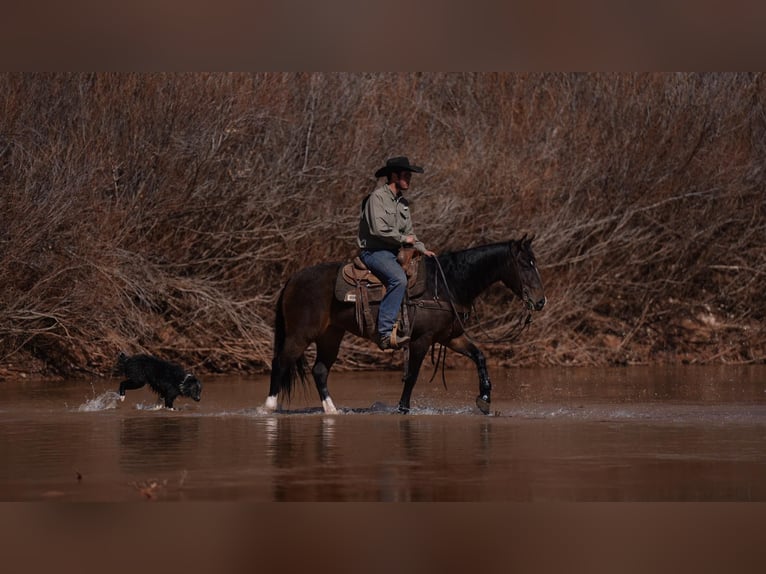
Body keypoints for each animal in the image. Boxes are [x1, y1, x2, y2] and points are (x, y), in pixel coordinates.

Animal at [262, 236, 544, 416]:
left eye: (535, 262)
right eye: (524, 264)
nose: (541, 301)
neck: (446, 285)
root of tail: (292, 279)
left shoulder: (450, 337)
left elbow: (479, 356)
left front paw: (484, 399)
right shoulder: (422, 339)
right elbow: (412, 375)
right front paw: (403, 408)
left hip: (330, 335)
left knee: (320, 370)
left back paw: (333, 410)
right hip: (300, 335)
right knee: (280, 362)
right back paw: (269, 407)